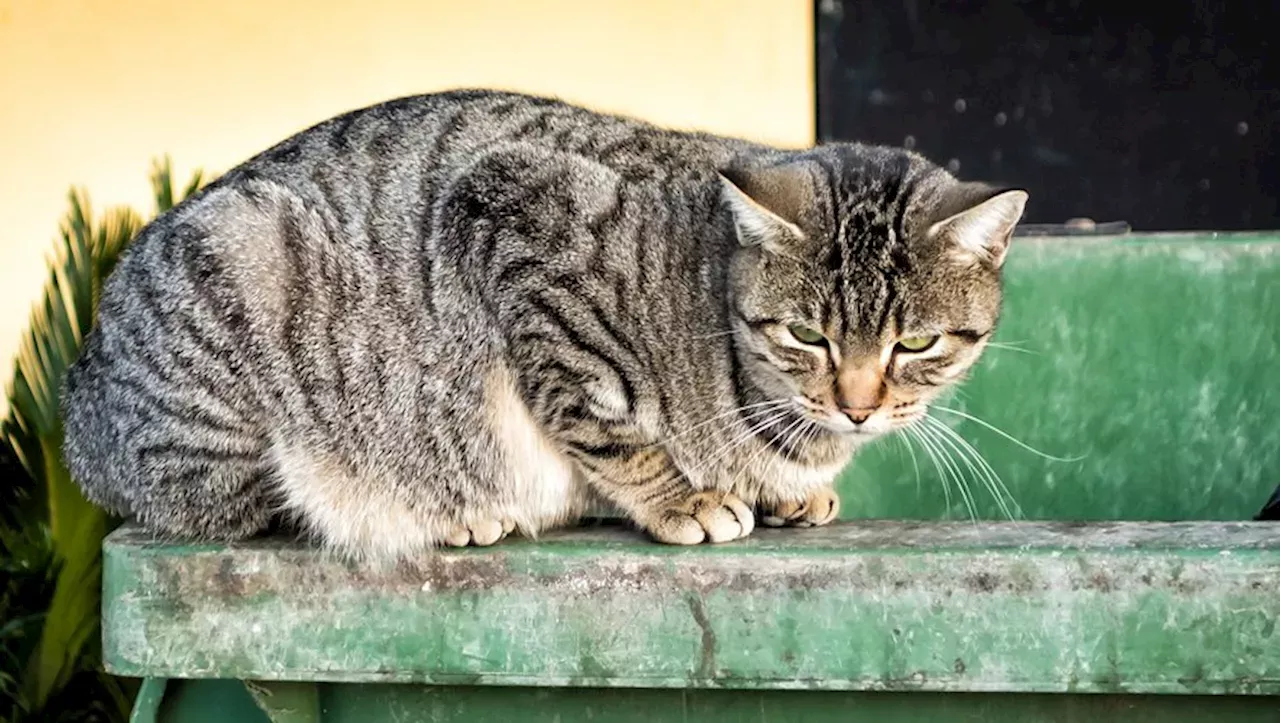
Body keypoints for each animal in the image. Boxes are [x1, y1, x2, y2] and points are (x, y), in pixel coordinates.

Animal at [60, 90, 1029, 560]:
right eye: (808, 335)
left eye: (915, 343)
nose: (858, 404)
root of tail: (77, 404)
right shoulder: (520, 222)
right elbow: (605, 423)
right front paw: (683, 496)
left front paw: (783, 490)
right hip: (246, 271)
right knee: (256, 505)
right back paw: (440, 513)